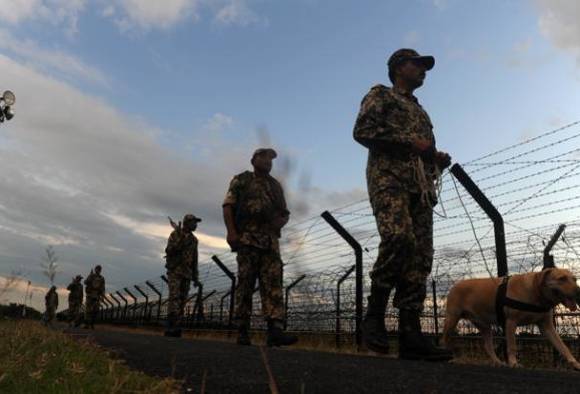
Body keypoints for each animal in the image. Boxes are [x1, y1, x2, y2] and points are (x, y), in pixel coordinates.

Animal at [444, 268, 580, 370]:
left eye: (574, 279)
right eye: (561, 279)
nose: (578, 291)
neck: (536, 291)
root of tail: (455, 285)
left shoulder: (547, 326)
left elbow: (562, 346)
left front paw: (575, 363)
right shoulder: (511, 322)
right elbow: (512, 346)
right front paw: (514, 363)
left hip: (484, 325)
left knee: (488, 346)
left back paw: (498, 362)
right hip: (452, 318)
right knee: (445, 338)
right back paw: (451, 356)